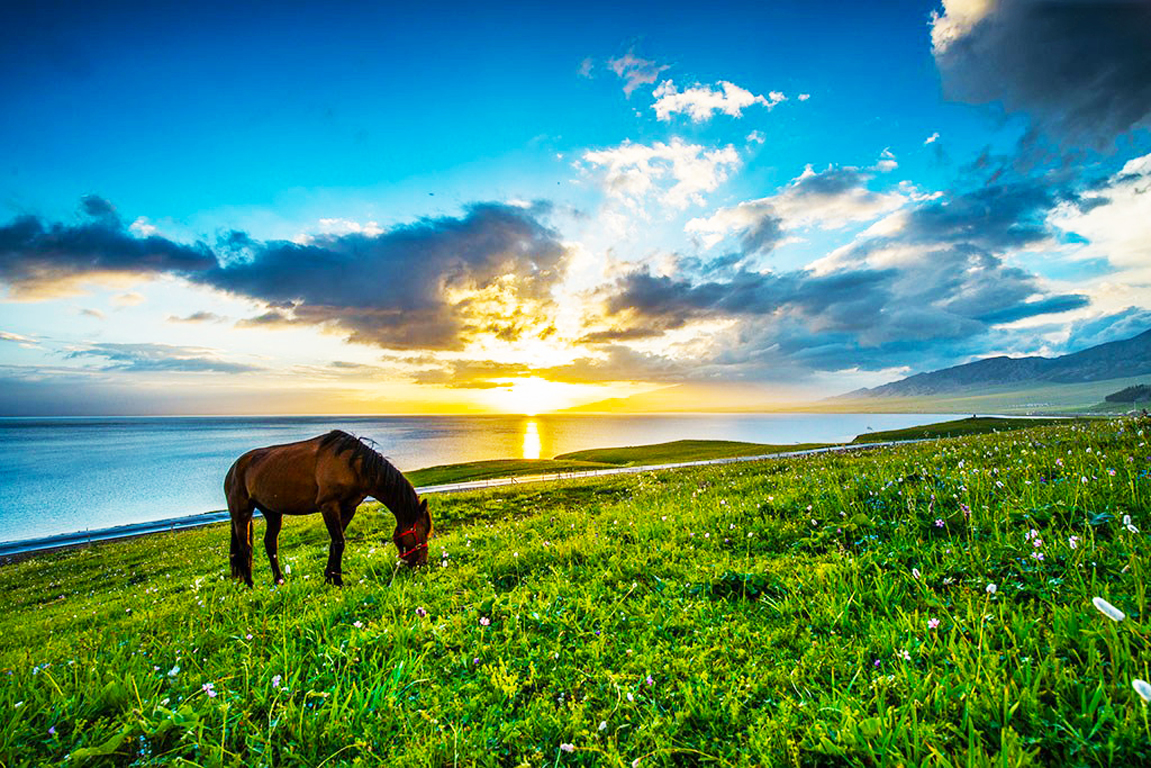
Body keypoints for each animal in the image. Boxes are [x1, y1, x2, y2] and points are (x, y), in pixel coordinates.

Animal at [223, 430, 432, 584]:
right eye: (420, 532)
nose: (422, 565)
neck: (352, 466)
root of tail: (233, 468)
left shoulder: (348, 509)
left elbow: (335, 544)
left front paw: (330, 577)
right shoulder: (328, 506)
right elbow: (339, 542)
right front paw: (337, 581)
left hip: (272, 513)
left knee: (270, 544)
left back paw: (279, 581)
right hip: (242, 514)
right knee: (246, 548)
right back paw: (250, 585)